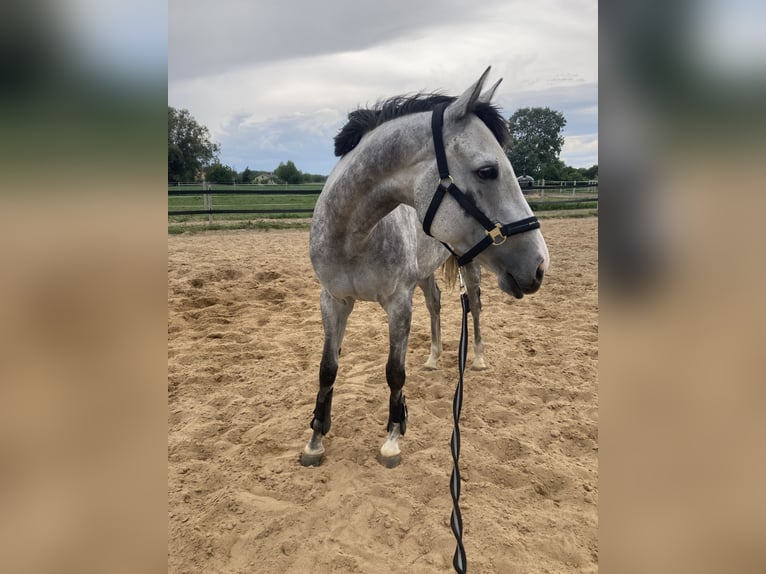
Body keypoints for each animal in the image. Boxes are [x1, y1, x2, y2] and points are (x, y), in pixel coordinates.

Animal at [304, 70, 548, 470]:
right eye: (487, 171)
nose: (540, 265)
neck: (354, 235)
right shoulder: (333, 300)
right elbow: (328, 368)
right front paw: (315, 440)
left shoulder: (398, 303)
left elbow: (394, 371)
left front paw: (392, 438)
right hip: (424, 275)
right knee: (435, 305)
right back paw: (433, 358)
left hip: (471, 269)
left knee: (475, 308)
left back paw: (477, 358)